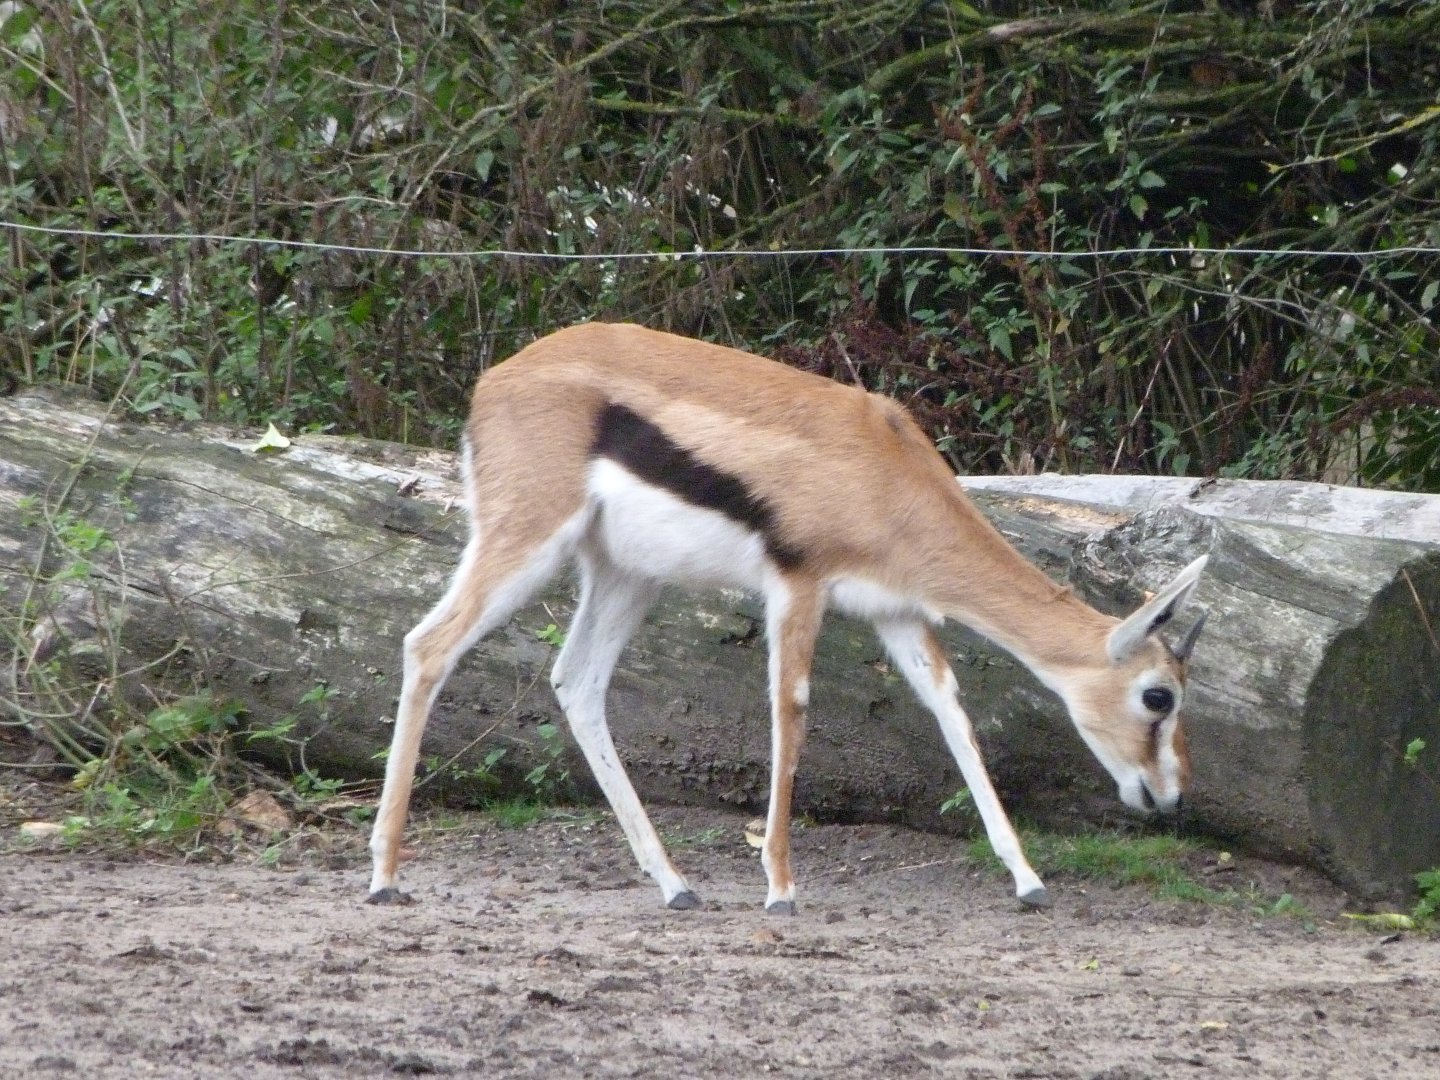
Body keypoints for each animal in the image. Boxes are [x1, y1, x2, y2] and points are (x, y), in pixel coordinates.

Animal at [368, 322, 1209, 914]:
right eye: (1157, 696)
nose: (1169, 797)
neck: (886, 471)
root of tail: (493, 381)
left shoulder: (896, 612)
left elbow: (952, 712)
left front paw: (1028, 879)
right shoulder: (798, 582)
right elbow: (791, 707)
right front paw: (781, 887)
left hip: (624, 575)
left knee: (576, 683)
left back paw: (676, 884)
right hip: (527, 541)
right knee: (428, 645)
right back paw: (383, 875)